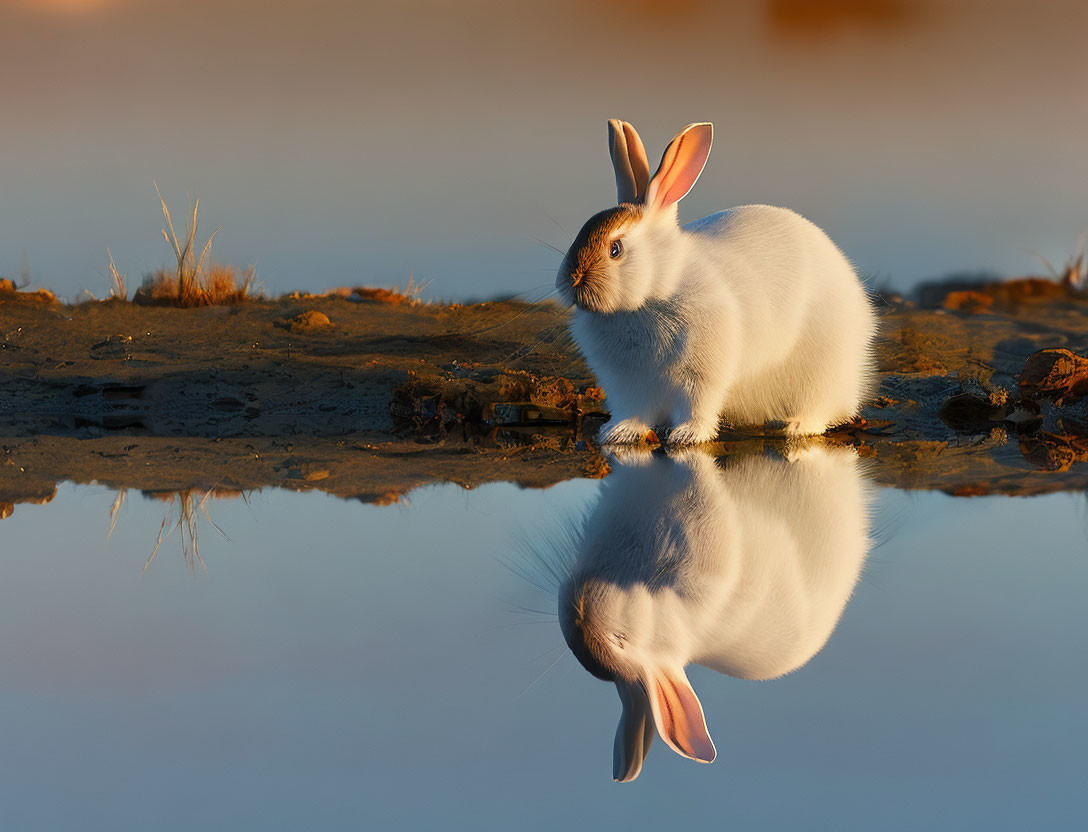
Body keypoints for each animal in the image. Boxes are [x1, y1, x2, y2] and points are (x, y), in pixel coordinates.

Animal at [557, 119, 879, 443]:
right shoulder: (627, 382)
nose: (571, 282)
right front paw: (619, 432)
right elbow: (634, 411)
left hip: (822, 367)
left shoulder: (702, 371)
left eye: (615, 249)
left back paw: (797, 426)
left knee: (820, 407)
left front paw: (687, 436)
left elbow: (697, 404)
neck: (657, 290)